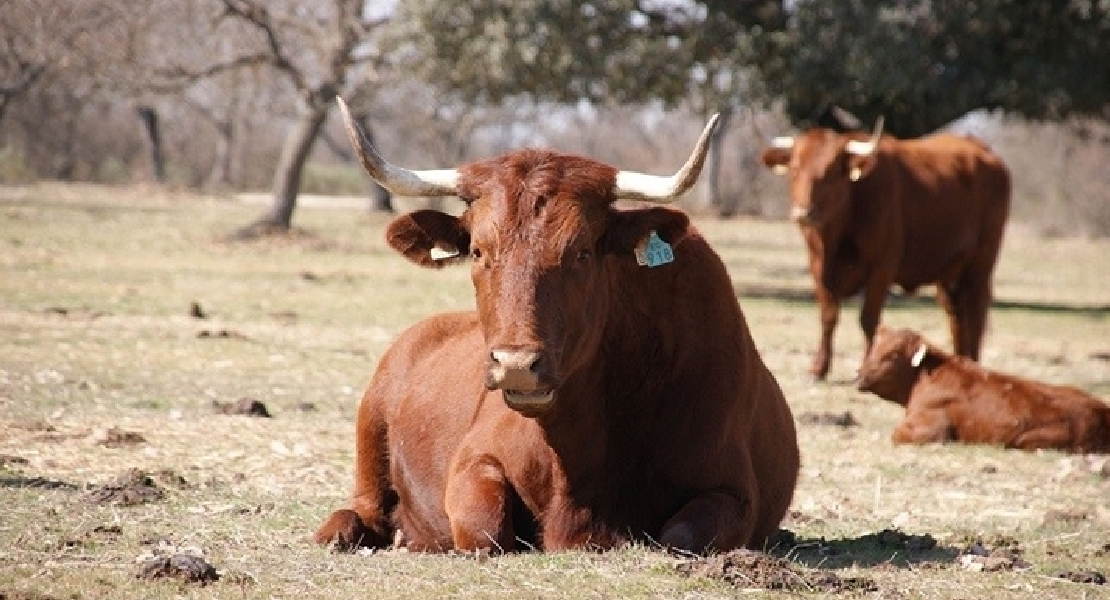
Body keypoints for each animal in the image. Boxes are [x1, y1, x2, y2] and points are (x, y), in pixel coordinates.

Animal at [317, 100, 803, 554]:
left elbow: (680, 535)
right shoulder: (474, 460)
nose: (515, 364)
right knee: (362, 509)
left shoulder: (731, 492)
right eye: (476, 250)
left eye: (582, 253)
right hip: (369, 431)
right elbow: (484, 528)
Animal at [759, 120, 1012, 379]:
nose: (803, 213)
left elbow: (869, 319)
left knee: (976, 310)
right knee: (956, 315)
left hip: (980, 264)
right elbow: (828, 315)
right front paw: (818, 368)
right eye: (795, 168)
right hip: (949, 271)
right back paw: (962, 361)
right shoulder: (818, 266)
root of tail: (982, 150)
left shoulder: (882, 267)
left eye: (831, 173)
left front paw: (865, 366)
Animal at [852, 326, 1105, 452]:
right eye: (874, 347)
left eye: (893, 354)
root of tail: (1102, 410)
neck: (924, 377)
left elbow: (896, 435)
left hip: (1029, 440)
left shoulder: (930, 429)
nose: (859, 374)